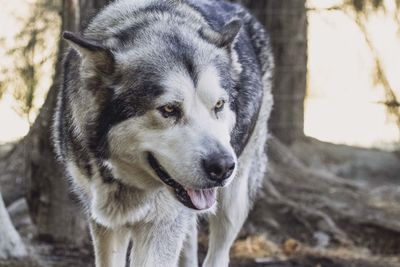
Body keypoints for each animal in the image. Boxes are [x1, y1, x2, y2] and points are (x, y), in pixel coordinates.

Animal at [52, 0, 272, 266]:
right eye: (169, 109)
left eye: (219, 105)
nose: (222, 167)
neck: (127, 184)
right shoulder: (106, 225)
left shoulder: (161, 227)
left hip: (231, 203)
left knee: (218, 253)